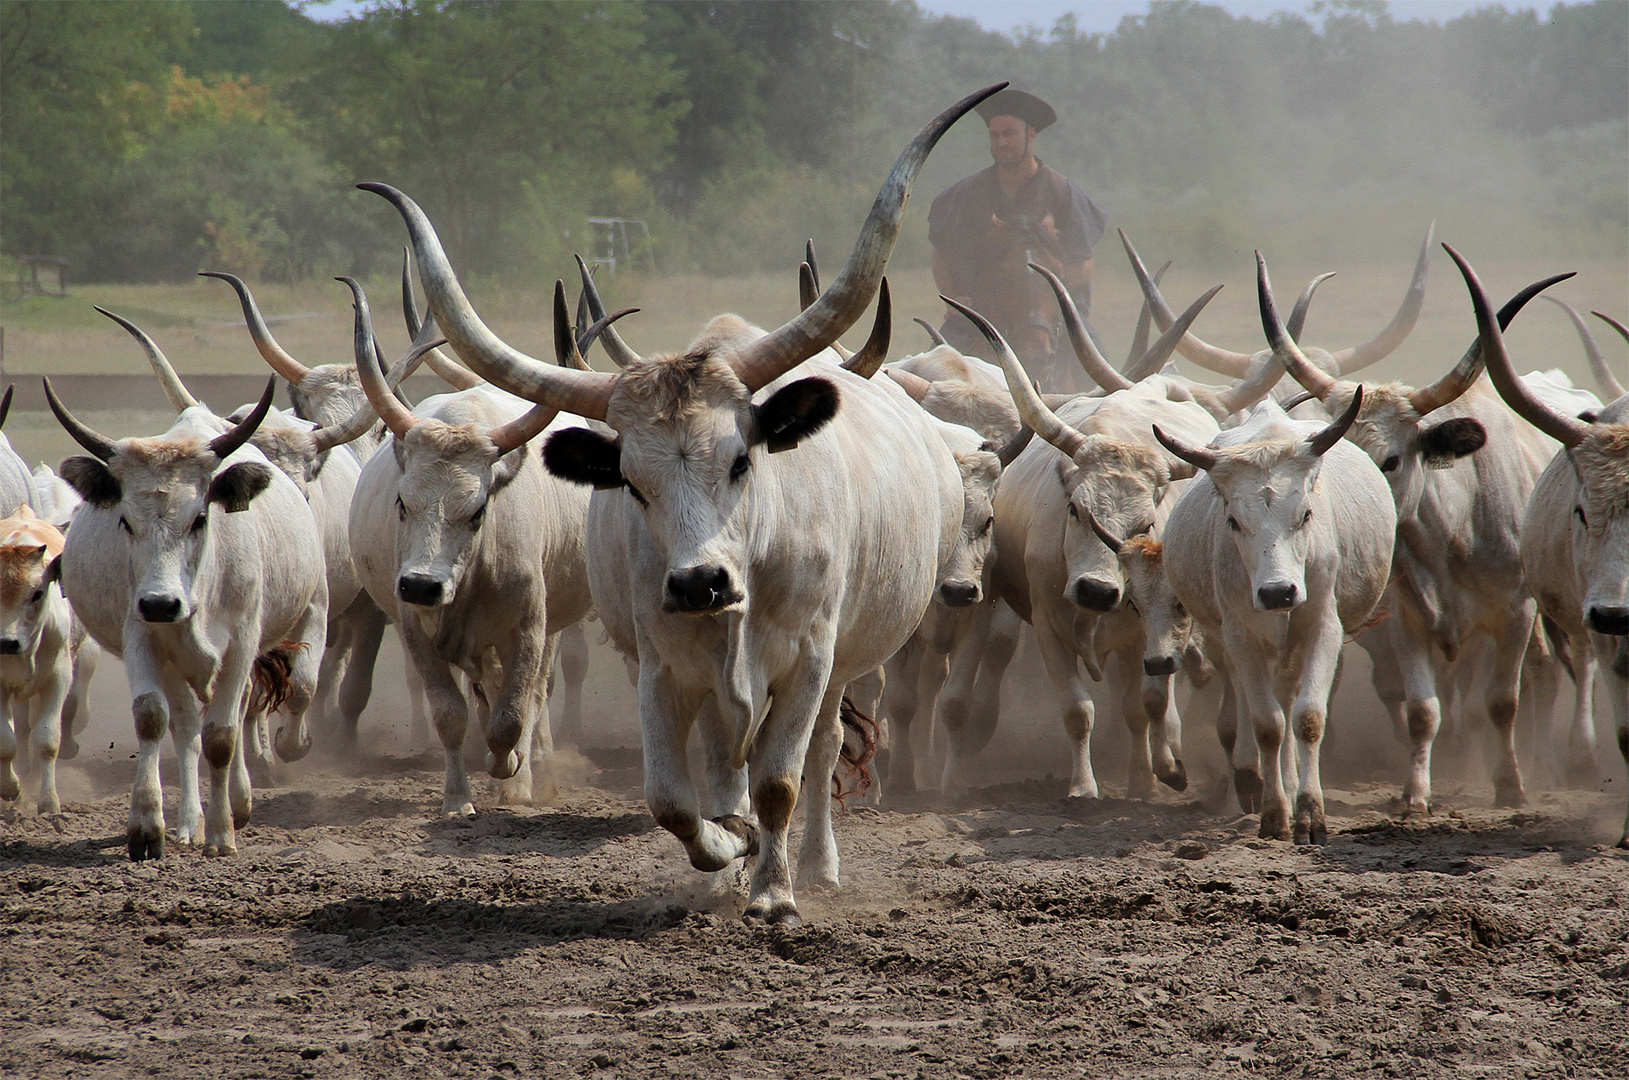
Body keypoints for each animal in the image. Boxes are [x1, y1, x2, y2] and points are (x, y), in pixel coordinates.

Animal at [49, 379, 327, 860]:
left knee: (233, 712)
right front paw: (148, 827)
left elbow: (223, 736)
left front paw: (221, 832)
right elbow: (153, 719)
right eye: (125, 521)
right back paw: (188, 822)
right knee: (184, 726)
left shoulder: (242, 644)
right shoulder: (142, 636)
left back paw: (236, 804)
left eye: (199, 518)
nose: (162, 603)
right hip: (171, 659)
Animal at [373, 86, 1003, 931]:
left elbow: (781, 779)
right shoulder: (662, 665)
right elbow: (676, 798)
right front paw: (726, 852)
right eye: (631, 484)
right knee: (720, 760)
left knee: (820, 753)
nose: (698, 583)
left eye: (741, 461)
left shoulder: (807, 659)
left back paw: (815, 865)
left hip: (843, 659)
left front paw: (774, 891)